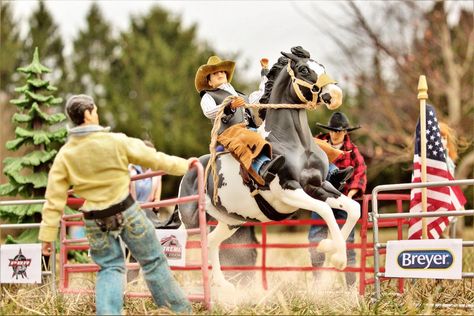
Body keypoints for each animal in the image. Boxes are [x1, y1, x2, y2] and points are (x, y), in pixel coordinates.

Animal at [180, 47, 362, 288]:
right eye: (304, 69)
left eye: (321, 66)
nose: (335, 94)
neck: (293, 143)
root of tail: (190, 170)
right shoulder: (288, 190)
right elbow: (324, 210)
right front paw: (338, 256)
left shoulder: (319, 186)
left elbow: (353, 209)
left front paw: (329, 247)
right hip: (190, 221)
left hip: (230, 222)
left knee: (210, 242)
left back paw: (224, 286)